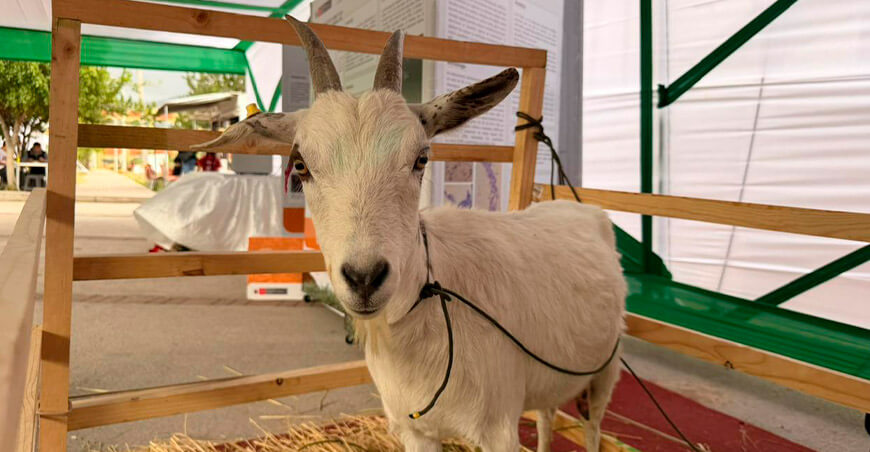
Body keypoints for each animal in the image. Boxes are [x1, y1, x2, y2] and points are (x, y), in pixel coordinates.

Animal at [193, 17, 626, 452]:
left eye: (421, 158)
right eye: (300, 165)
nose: (365, 278)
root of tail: (579, 206)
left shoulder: (499, 427)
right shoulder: (414, 429)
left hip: (607, 366)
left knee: (592, 425)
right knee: (548, 413)